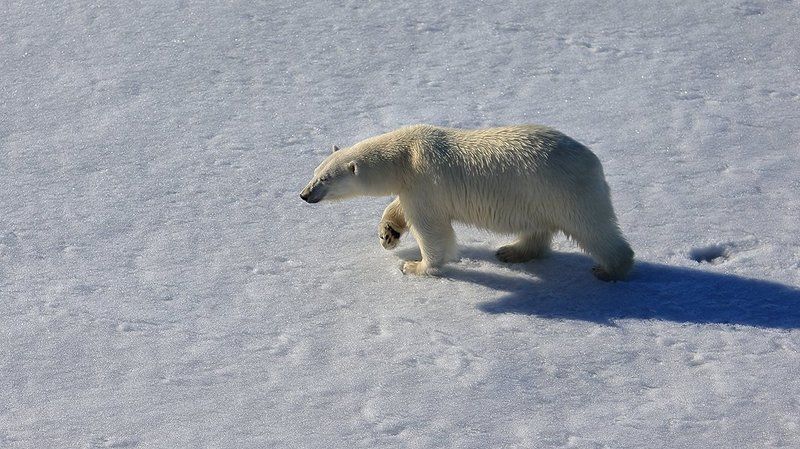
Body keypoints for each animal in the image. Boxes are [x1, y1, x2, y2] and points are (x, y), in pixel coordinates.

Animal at [300, 124, 634, 280]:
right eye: (315, 172)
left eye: (325, 178)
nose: (304, 194)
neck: (405, 155)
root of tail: (593, 160)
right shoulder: (412, 185)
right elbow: (400, 206)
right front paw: (388, 234)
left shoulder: (425, 181)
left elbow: (432, 229)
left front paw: (416, 266)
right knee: (537, 229)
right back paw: (512, 251)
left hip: (563, 190)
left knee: (593, 228)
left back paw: (610, 269)